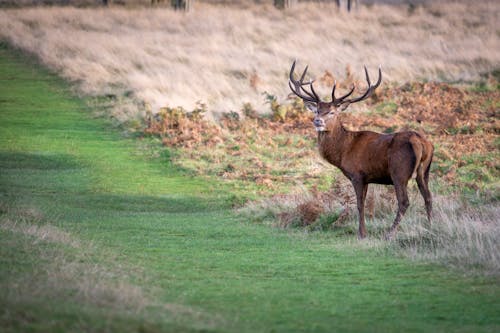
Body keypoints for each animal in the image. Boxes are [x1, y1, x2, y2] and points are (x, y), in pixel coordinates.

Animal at [290, 60, 434, 239]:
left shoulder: (357, 174)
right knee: (428, 197)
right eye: (317, 110)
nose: (317, 121)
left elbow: (360, 204)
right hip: (424, 171)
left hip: (399, 171)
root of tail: (421, 142)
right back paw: (431, 227)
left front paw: (362, 233)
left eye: (332, 112)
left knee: (404, 201)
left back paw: (389, 233)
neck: (343, 152)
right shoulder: (366, 178)